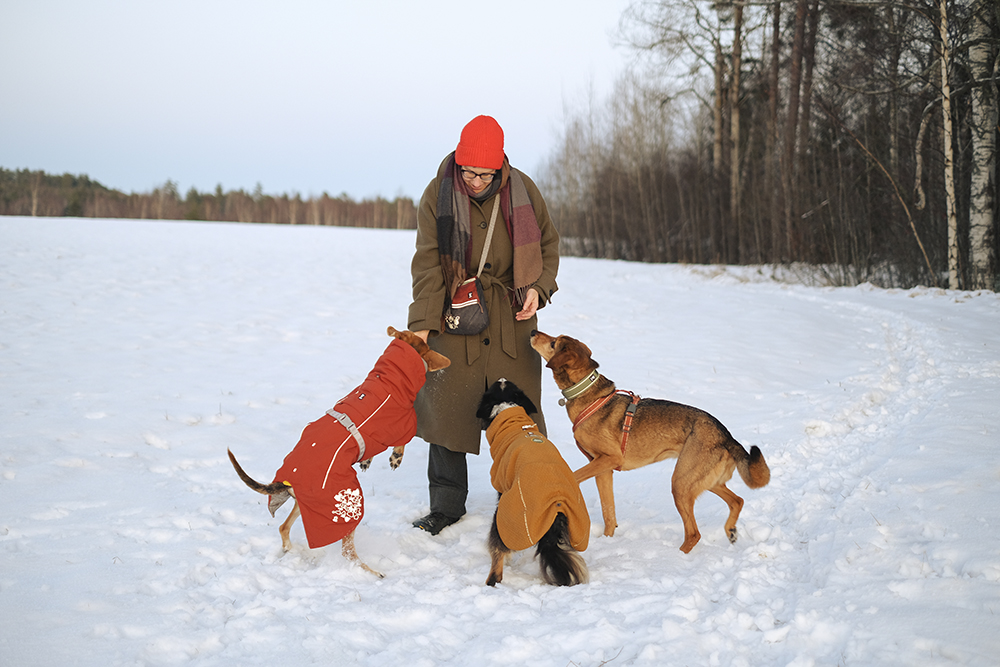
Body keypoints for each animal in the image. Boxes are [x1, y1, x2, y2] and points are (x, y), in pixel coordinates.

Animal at [229, 326, 452, 576]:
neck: (386, 381)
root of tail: (287, 480)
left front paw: (367, 461)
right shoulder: (402, 427)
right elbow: (401, 444)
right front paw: (396, 457)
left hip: (307, 507)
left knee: (283, 527)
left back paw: (289, 549)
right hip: (346, 508)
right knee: (347, 553)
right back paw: (371, 572)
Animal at [474, 378, 588, 588]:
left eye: (492, 387)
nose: (502, 378)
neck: (507, 407)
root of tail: (556, 503)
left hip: (503, 515)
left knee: (497, 561)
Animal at [532, 332, 772, 556]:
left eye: (553, 343)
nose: (533, 332)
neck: (588, 395)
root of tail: (725, 435)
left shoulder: (609, 459)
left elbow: (573, 477)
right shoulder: (603, 469)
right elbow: (608, 512)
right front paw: (608, 540)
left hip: (681, 484)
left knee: (694, 533)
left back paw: (676, 557)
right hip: (704, 481)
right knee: (737, 500)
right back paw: (730, 530)